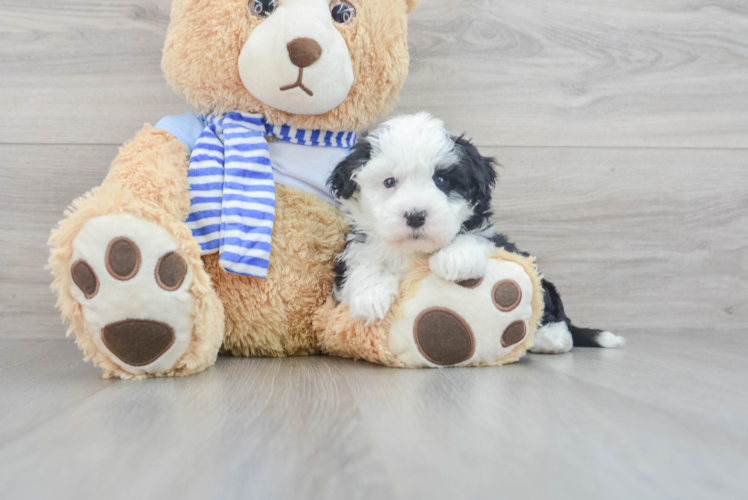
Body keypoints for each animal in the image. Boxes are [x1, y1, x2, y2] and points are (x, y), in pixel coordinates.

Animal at [328, 114, 624, 356]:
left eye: (441, 180)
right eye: (389, 182)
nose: (415, 215)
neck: (415, 251)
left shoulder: (493, 239)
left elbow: (475, 237)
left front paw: (455, 258)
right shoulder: (352, 253)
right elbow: (363, 264)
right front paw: (371, 296)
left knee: (551, 306)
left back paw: (550, 338)